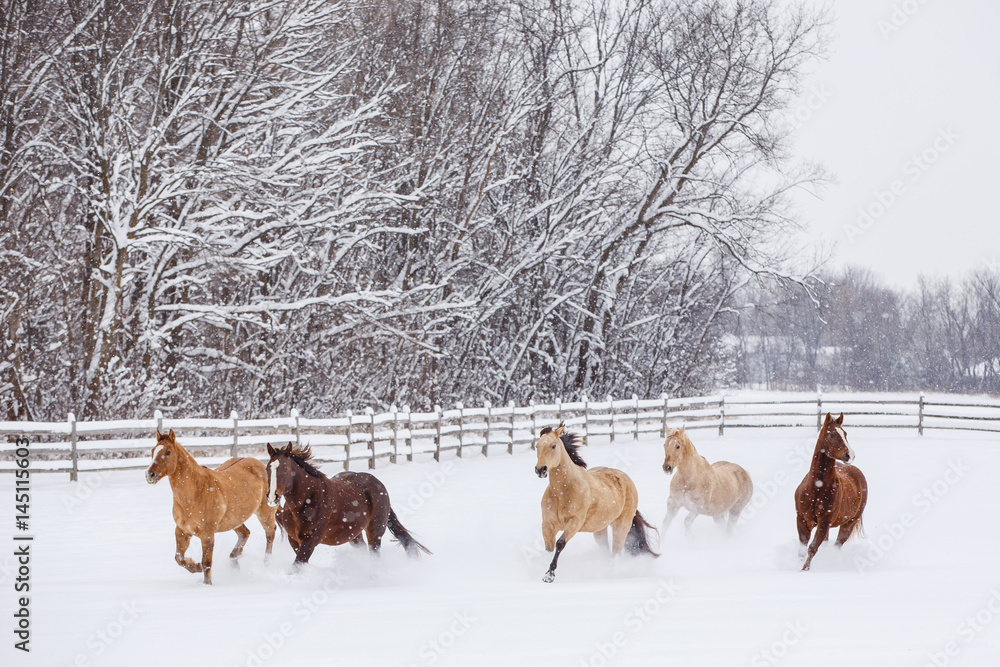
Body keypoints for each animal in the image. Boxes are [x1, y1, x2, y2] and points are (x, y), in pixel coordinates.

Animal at [145, 430, 276, 585]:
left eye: (168, 452)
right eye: (153, 451)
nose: (150, 475)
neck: (195, 493)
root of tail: (261, 465)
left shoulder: (207, 535)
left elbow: (206, 563)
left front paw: (207, 584)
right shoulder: (182, 531)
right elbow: (179, 558)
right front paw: (195, 566)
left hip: (265, 513)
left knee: (270, 534)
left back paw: (267, 563)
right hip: (234, 520)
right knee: (245, 533)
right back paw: (234, 561)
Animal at [265, 443, 430, 565]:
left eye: (285, 469)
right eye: (267, 468)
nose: (272, 497)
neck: (307, 500)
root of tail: (378, 484)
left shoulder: (310, 541)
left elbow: (297, 566)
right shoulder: (293, 539)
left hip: (375, 532)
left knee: (374, 555)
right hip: (354, 535)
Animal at [534, 424, 658, 583]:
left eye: (553, 446)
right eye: (537, 446)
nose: (540, 469)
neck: (562, 492)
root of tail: (628, 480)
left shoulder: (575, 522)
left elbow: (560, 544)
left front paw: (549, 576)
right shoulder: (548, 525)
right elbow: (549, 549)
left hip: (621, 526)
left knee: (615, 553)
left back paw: (611, 575)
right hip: (600, 529)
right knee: (606, 550)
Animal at [795, 413, 868, 571]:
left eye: (845, 433)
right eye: (832, 434)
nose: (850, 455)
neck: (816, 488)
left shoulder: (824, 522)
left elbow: (812, 548)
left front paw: (804, 570)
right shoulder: (802, 519)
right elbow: (802, 549)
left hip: (849, 524)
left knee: (837, 545)